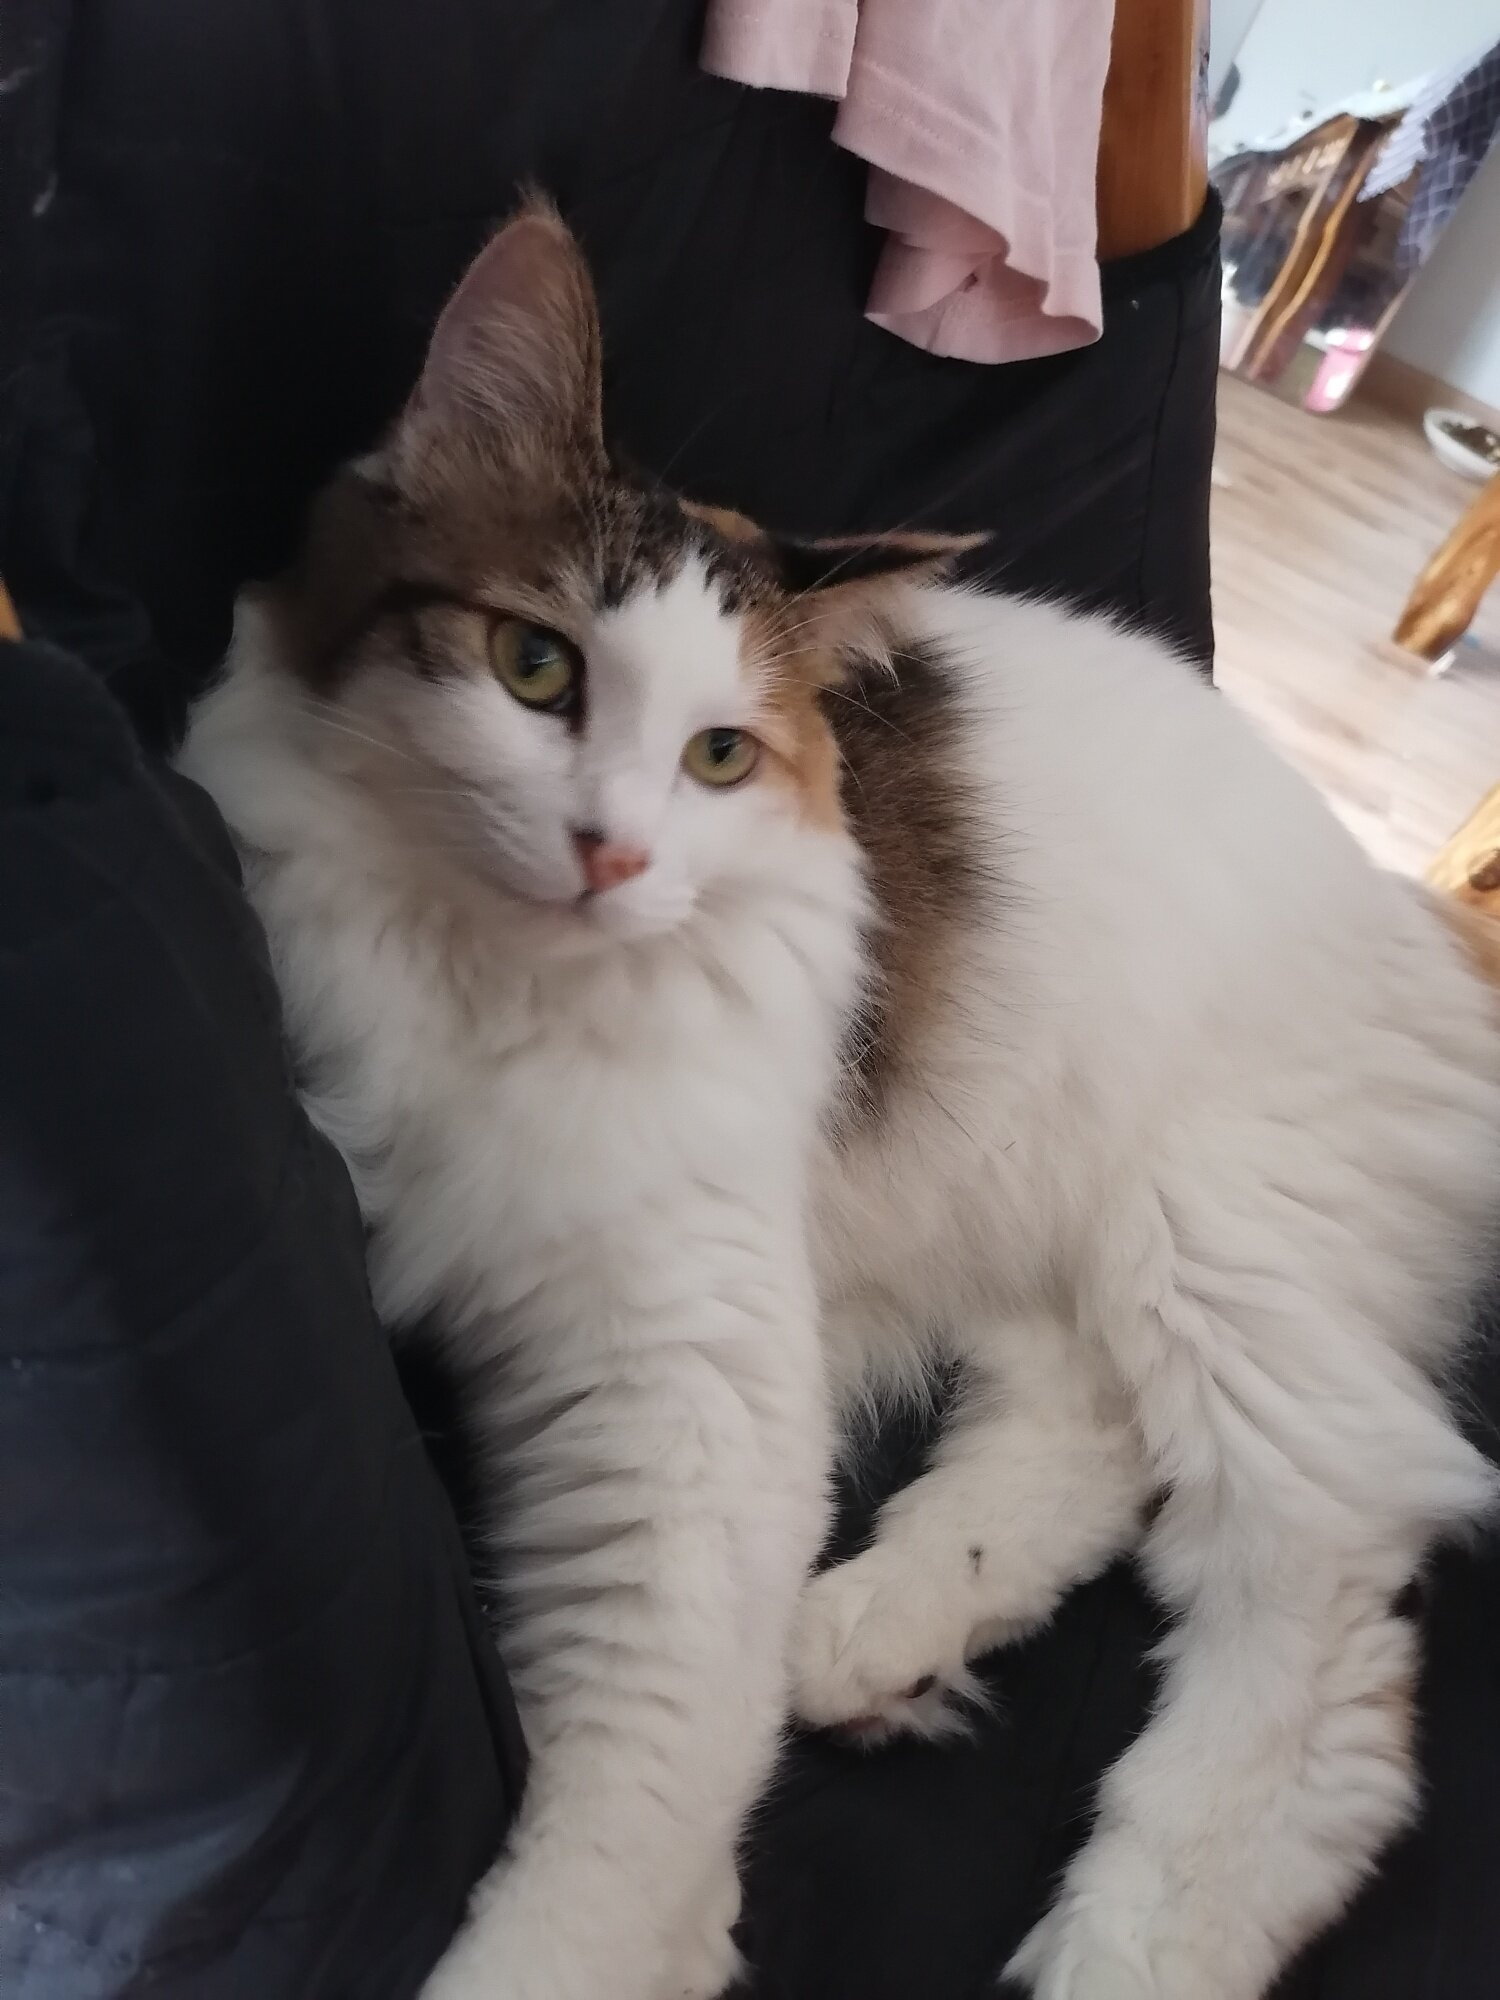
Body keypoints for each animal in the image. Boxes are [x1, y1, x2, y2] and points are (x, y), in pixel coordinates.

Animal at [179, 200, 1500, 2000]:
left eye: (719, 757)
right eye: (533, 667)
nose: (611, 855)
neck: (491, 975)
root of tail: (1423, 921)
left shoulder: (688, 1376)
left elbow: (615, 1827)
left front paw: (624, 1937)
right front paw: (698, 1915)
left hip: (1218, 1240)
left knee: (1318, 1635)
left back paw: (1131, 1937)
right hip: (1042, 1215)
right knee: (1087, 1435)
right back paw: (867, 1636)